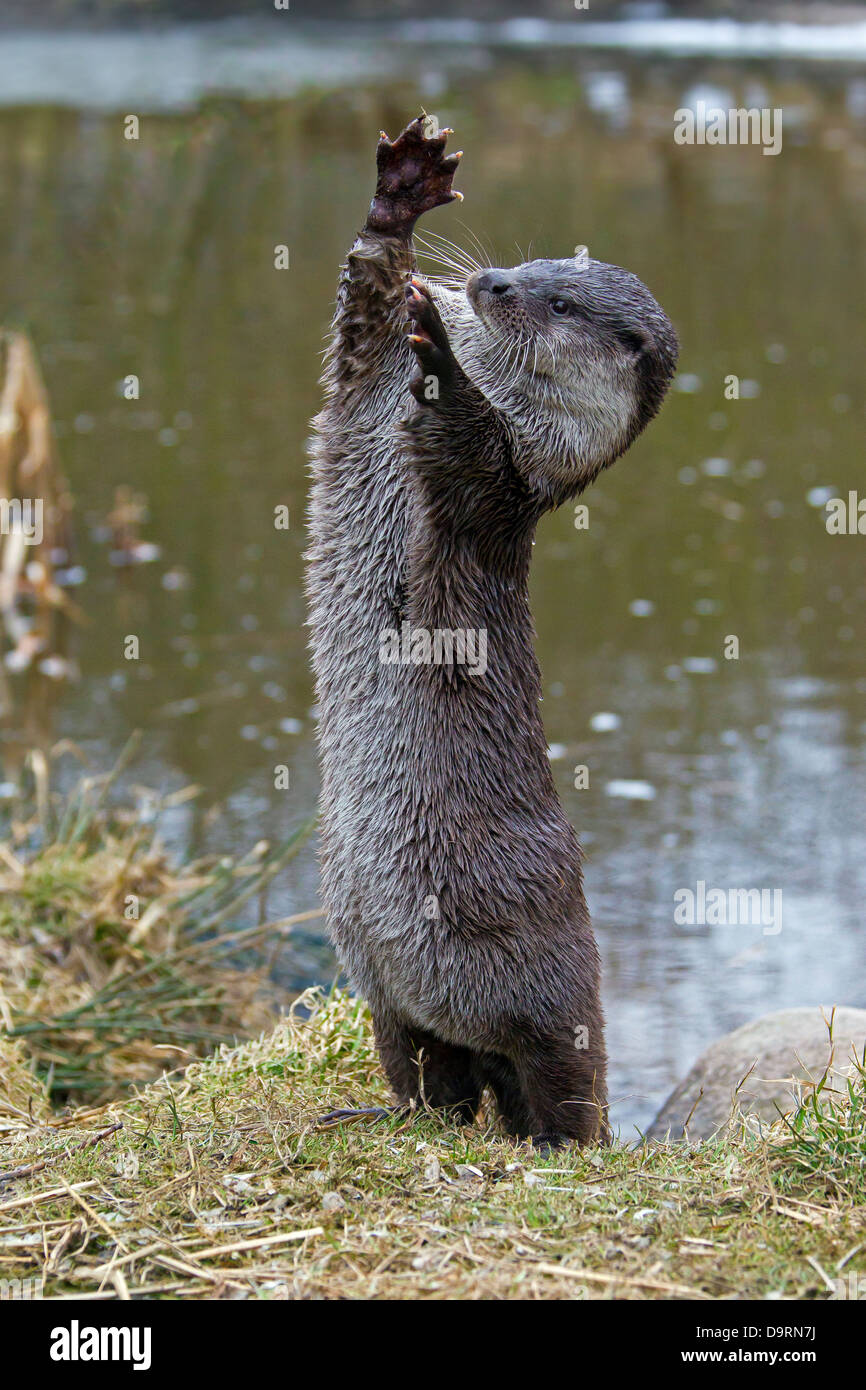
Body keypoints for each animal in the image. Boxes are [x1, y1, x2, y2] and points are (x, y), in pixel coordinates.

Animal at [304, 113, 678, 1145]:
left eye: (557, 299)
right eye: (533, 259)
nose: (491, 284)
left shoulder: (504, 482)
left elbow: (466, 445)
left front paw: (441, 355)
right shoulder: (363, 376)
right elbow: (361, 302)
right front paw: (401, 194)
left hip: (541, 970)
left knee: (560, 1074)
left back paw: (557, 1140)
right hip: (385, 985)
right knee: (435, 1073)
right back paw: (383, 1112)